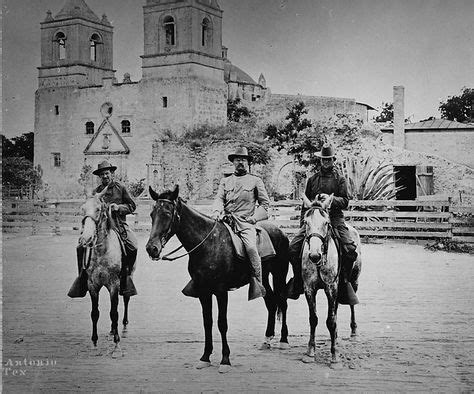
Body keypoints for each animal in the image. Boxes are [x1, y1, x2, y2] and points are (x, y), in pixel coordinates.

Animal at [146, 186, 290, 374]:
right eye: (152, 214)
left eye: (168, 213)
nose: (152, 248)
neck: (208, 244)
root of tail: (281, 232)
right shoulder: (203, 292)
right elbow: (207, 322)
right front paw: (205, 357)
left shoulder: (221, 291)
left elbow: (222, 323)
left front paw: (225, 360)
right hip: (263, 279)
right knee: (271, 302)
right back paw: (267, 339)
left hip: (280, 274)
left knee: (282, 302)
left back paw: (284, 340)